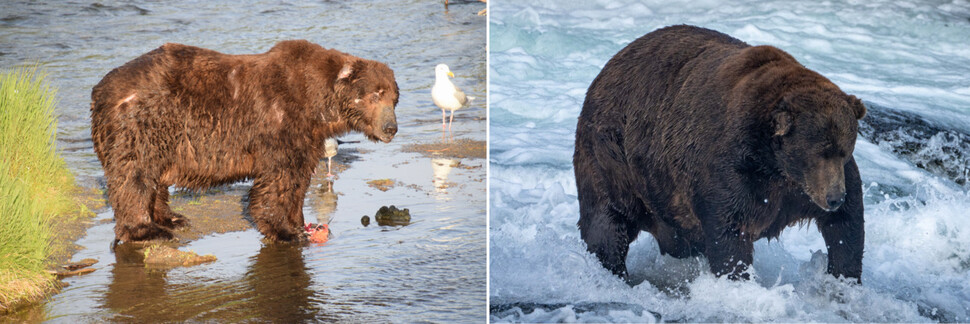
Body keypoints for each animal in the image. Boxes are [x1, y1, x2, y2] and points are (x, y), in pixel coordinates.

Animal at [88, 39, 398, 243]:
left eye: (393, 98)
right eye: (374, 95)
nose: (391, 127)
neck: (319, 103)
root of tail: (100, 89)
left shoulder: (309, 136)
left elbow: (299, 177)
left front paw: (299, 222)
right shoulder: (281, 120)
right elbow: (279, 177)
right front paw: (285, 230)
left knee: (154, 177)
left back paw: (172, 217)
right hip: (142, 123)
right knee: (135, 175)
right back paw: (147, 229)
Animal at [576, 25, 864, 282]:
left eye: (844, 150)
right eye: (818, 152)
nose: (834, 198)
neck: (774, 163)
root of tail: (608, 66)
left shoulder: (801, 188)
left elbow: (846, 224)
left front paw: (843, 278)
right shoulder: (733, 169)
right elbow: (729, 230)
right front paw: (737, 278)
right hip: (613, 156)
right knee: (608, 220)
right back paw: (613, 270)